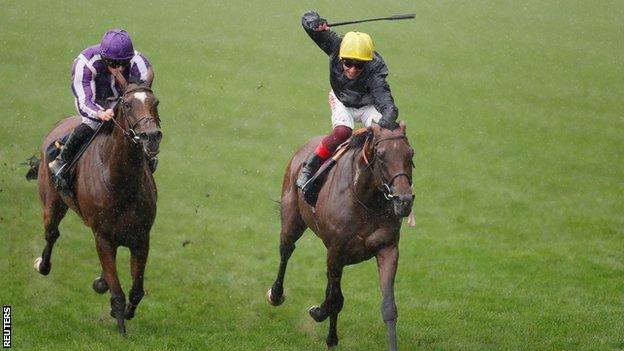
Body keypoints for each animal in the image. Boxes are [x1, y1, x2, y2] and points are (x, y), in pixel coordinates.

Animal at [33, 81, 162, 336]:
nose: (151, 137)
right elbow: (118, 292)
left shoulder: (141, 237)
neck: (120, 180)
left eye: (156, 103)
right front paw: (122, 331)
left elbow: (137, 290)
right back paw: (43, 265)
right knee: (52, 234)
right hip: (52, 204)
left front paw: (124, 311)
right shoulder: (102, 237)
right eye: (128, 104)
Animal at [266, 120, 414, 350]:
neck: (365, 201)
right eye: (381, 155)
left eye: (410, 154)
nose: (404, 201)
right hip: (292, 219)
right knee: (286, 251)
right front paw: (318, 312)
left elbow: (388, 308)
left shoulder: (387, 249)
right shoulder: (336, 252)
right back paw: (276, 294)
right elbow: (336, 299)